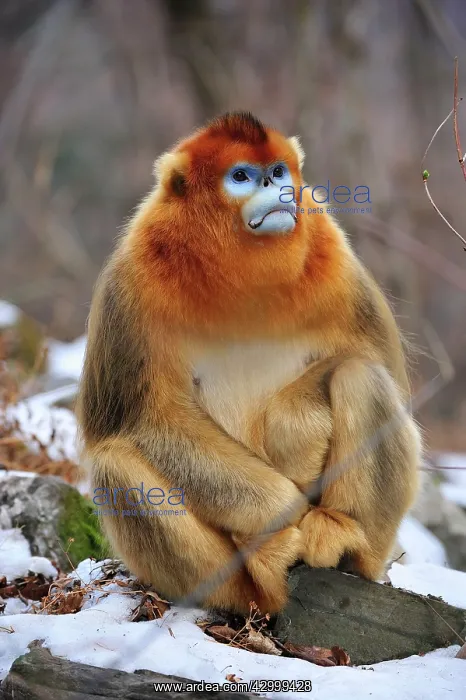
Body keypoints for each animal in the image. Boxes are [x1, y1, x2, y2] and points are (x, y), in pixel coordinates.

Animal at [76, 111, 420, 615]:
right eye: (241, 176)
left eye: (277, 171)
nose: (277, 189)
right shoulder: (130, 280)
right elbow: (145, 420)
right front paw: (284, 508)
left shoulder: (335, 255)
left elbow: (381, 367)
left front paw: (293, 431)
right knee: (115, 463)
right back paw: (262, 567)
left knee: (362, 376)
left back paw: (340, 540)